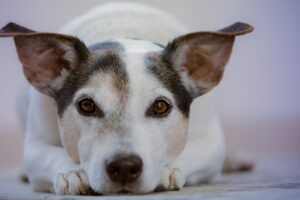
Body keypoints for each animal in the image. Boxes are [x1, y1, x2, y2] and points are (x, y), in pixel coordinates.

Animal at [0, 1, 253, 195]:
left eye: (160, 106)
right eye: (86, 105)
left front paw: (166, 170)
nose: (123, 166)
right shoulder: (35, 143)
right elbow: (48, 154)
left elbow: (191, 151)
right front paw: (72, 172)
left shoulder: (211, 142)